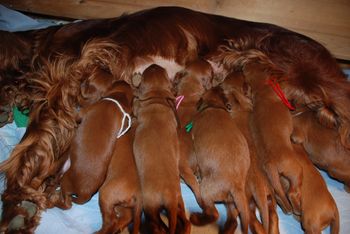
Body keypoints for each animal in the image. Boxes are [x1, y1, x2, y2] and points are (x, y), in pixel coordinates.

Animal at [55, 80, 133, 208]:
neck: (118, 100)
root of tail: (84, 194)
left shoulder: (83, 112)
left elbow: (75, 114)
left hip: (66, 182)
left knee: (66, 199)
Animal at [187, 85, 250, 233]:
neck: (215, 106)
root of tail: (237, 185)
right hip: (232, 203)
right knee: (233, 221)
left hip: (206, 191)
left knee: (214, 214)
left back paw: (196, 218)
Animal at [220, 71, 280, 234]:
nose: (240, 69)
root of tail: (260, 187)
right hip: (270, 200)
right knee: (273, 216)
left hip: (245, 203)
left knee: (250, 222)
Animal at [243, 61, 304, 214]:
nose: (245, 62)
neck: (260, 88)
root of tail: (270, 162)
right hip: (296, 171)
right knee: (292, 192)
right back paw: (297, 209)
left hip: (274, 181)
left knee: (279, 194)